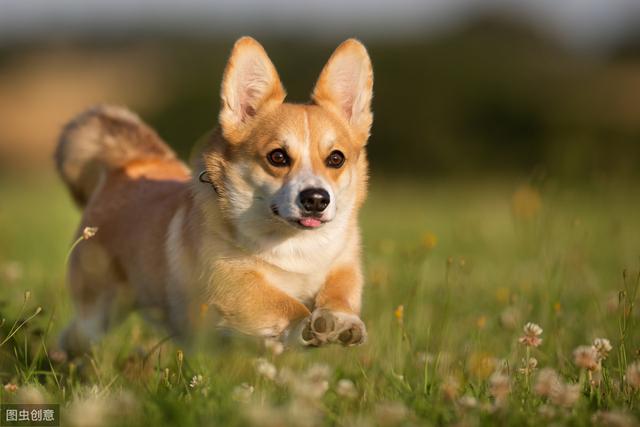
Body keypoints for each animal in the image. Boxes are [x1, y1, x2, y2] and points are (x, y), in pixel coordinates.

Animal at [56, 36, 376, 354]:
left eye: (336, 159)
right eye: (277, 157)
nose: (316, 200)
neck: (294, 244)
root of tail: (130, 163)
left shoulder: (344, 264)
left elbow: (340, 292)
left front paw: (340, 320)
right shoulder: (232, 282)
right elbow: (284, 303)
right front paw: (306, 323)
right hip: (98, 311)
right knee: (76, 335)